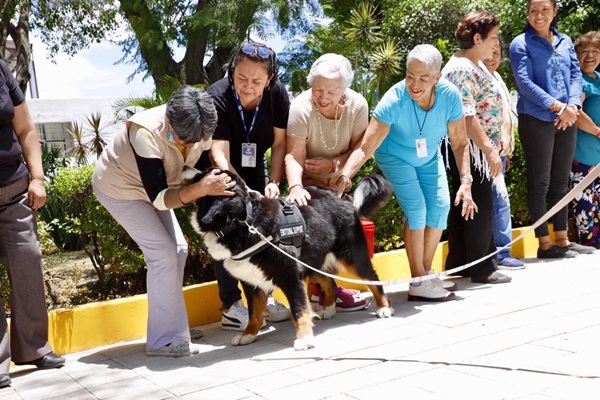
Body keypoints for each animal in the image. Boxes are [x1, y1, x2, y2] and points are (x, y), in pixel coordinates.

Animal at [185, 168, 396, 350]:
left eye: (205, 174)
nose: (186, 167)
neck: (243, 223)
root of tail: (341, 197)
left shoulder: (290, 276)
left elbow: (298, 310)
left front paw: (304, 339)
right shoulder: (251, 281)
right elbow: (254, 313)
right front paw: (248, 335)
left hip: (351, 256)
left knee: (372, 278)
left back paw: (384, 308)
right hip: (312, 261)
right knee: (329, 282)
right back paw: (328, 309)